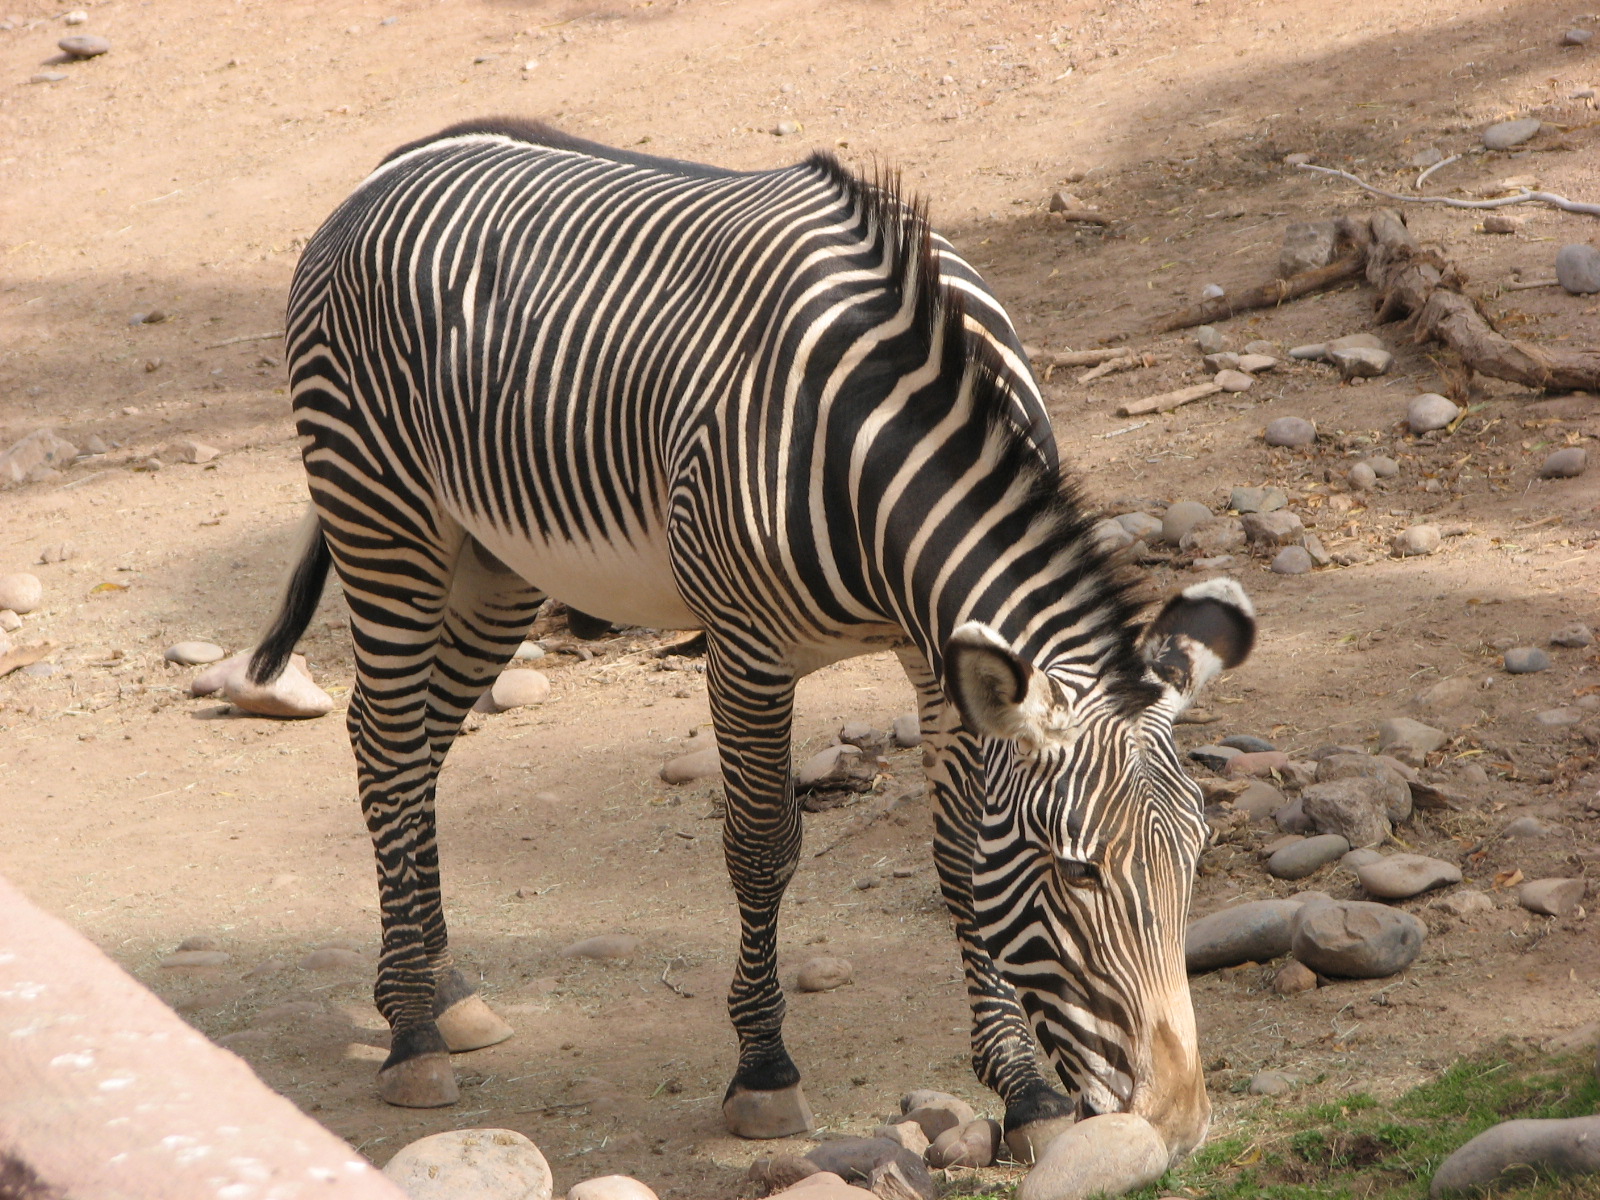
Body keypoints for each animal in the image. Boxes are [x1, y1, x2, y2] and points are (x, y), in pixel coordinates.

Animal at [248, 118, 1255, 1164]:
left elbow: (956, 849)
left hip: (494, 561)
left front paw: (1020, 1087)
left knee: (413, 745)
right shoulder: (744, 651)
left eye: (1196, 854)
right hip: (382, 514)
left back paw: (445, 992)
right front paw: (764, 1071)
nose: (1182, 1124)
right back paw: (411, 1031)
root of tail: (401, 159)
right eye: (1077, 870)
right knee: (389, 745)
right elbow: (762, 845)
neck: (881, 441)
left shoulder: (939, 658)